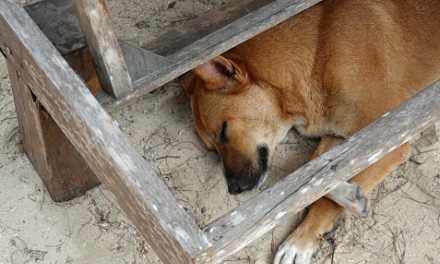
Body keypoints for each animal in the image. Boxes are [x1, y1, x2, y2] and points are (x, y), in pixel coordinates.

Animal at [180, 1, 440, 262]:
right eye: (212, 149)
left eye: (224, 131)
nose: (233, 189)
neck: (317, 55)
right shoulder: (341, 136)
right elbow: (314, 173)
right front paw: (343, 193)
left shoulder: (386, 136)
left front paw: (300, 241)